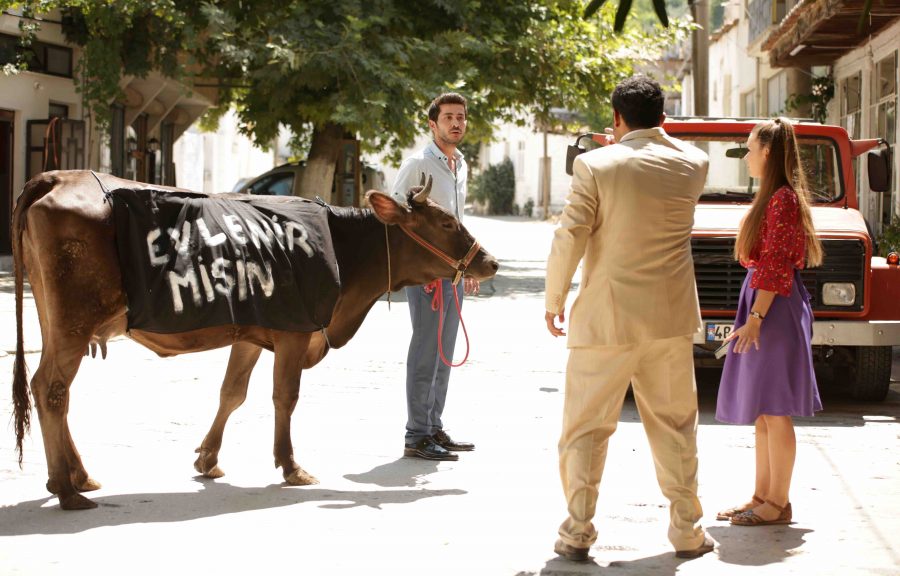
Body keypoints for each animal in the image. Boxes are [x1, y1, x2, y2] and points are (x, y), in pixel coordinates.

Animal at [10, 170, 500, 508]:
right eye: (446, 223)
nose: (490, 262)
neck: (340, 251)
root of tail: (58, 176)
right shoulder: (294, 332)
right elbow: (285, 397)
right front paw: (291, 466)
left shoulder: (249, 331)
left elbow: (232, 392)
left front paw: (207, 458)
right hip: (74, 322)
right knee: (51, 389)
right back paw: (67, 490)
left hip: (55, 321)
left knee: (53, 390)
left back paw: (76, 476)